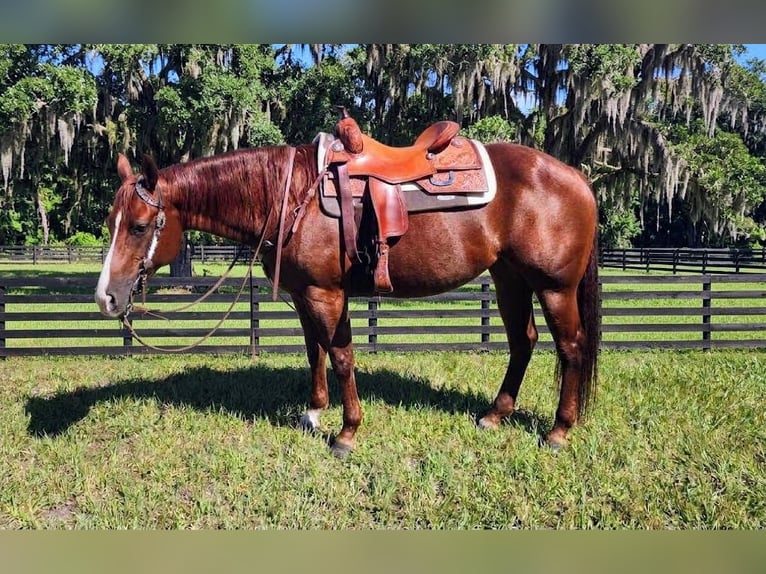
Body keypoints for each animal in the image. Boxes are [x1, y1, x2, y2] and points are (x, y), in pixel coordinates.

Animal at [94, 135, 600, 458]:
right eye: (110, 223)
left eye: (138, 226)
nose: (106, 298)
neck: (290, 196)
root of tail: (576, 177)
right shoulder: (304, 295)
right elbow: (314, 352)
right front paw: (314, 413)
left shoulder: (326, 294)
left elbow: (341, 357)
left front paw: (347, 432)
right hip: (509, 278)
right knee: (523, 342)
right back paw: (495, 415)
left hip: (554, 287)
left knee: (570, 347)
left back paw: (558, 431)